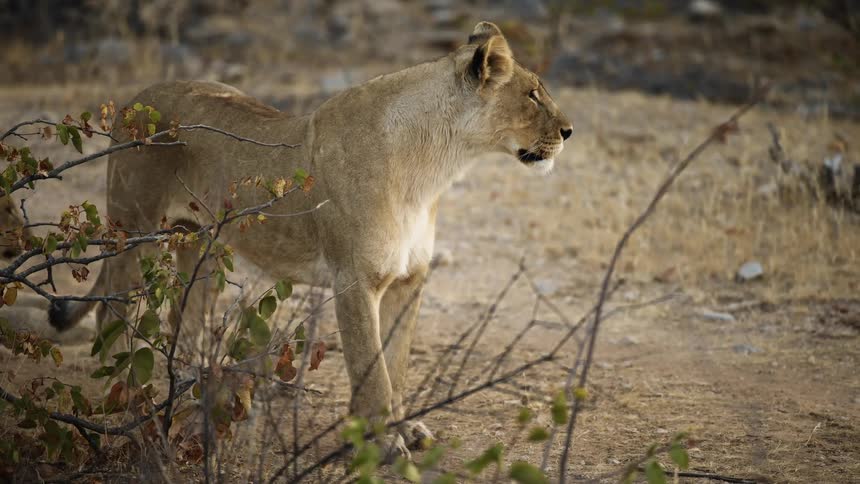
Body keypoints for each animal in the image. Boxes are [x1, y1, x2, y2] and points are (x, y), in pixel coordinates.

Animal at [49, 21, 572, 457]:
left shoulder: (409, 281)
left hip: (199, 244)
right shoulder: (354, 281)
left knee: (186, 320)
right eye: (532, 95)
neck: (434, 167)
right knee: (110, 313)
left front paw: (406, 430)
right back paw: (127, 405)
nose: (569, 131)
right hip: (133, 230)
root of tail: (135, 97)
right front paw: (383, 443)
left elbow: (397, 367)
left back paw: (196, 399)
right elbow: (373, 373)